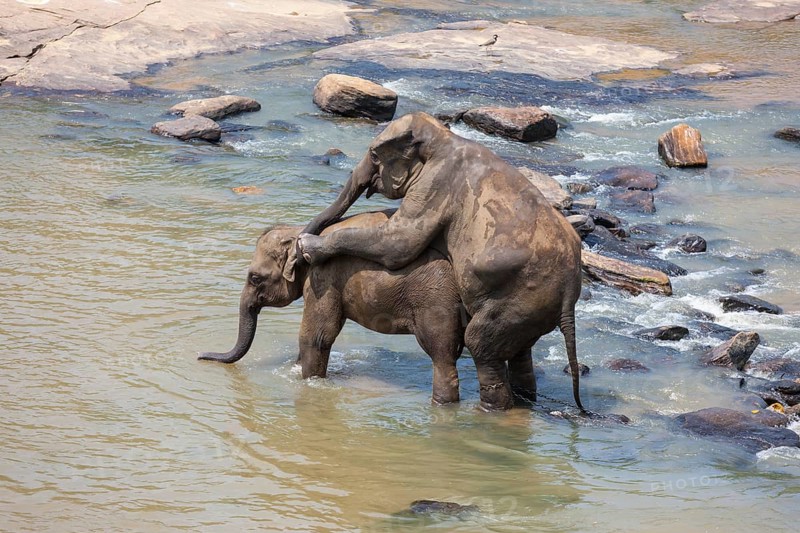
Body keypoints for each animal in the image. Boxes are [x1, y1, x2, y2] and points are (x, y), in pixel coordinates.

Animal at [198, 210, 467, 405]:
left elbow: (316, 337)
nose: (200, 356)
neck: (299, 231)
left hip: (435, 302)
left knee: (441, 355)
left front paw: (309, 382)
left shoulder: (322, 278)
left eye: (255, 278)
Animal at [296, 112, 585, 412]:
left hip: (520, 299)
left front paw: (306, 246)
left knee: (479, 344)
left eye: (374, 155)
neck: (444, 138)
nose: (296, 251)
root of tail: (570, 292)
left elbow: (398, 244)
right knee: (520, 354)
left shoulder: (434, 186)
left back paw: (488, 409)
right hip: (532, 309)